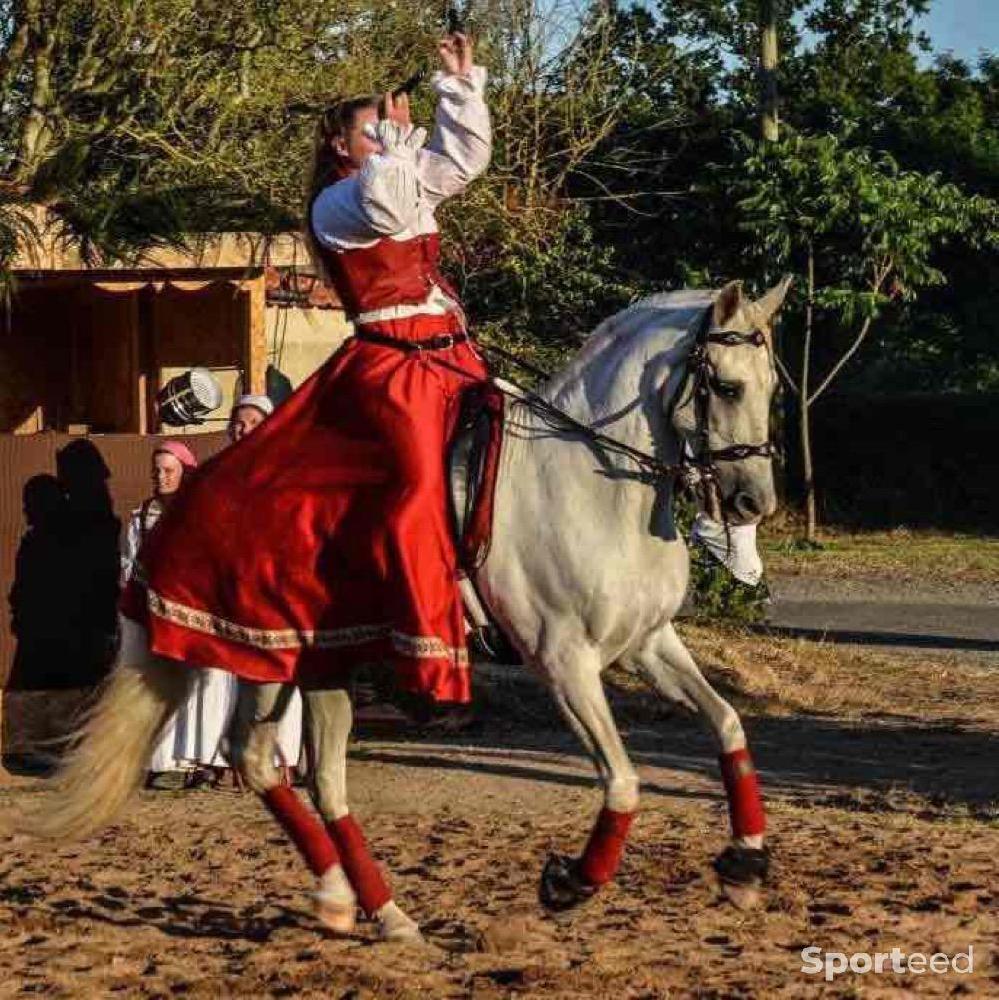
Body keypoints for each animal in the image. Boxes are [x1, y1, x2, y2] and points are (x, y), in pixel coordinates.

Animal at [21, 280, 788, 936]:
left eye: (772, 388)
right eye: (725, 386)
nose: (753, 502)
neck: (591, 483)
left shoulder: (647, 643)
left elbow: (727, 724)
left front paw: (745, 862)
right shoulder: (564, 664)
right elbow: (624, 781)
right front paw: (570, 881)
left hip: (300, 666)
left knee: (276, 764)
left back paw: (353, 902)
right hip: (278, 658)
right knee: (302, 773)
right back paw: (370, 906)